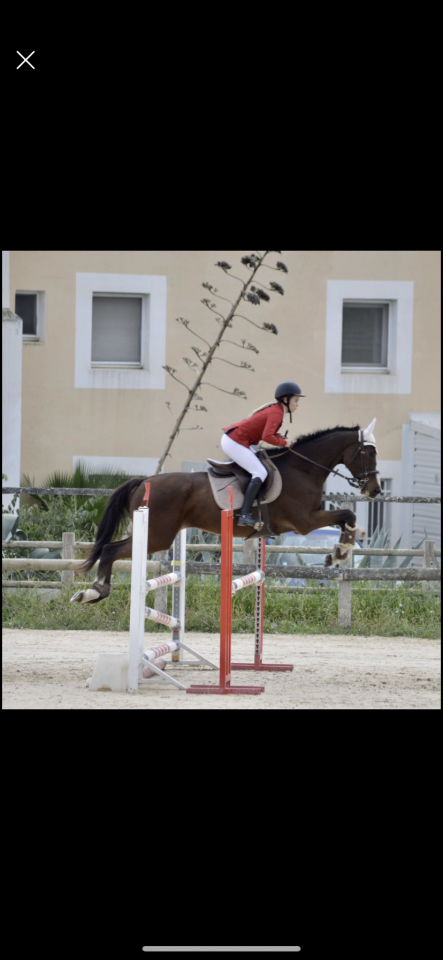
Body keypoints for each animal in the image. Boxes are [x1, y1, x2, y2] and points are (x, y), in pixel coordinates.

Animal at [71, 419, 380, 604]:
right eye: (370, 452)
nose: (375, 490)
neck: (303, 468)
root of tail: (144, 481)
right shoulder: (304, 522)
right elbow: (348, 516)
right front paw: (339, 553)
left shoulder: (308, 520)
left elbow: (347, 518)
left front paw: (338, 551)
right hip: (158, 537)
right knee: (110, 550)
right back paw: (94, 591)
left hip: (157, 535)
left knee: (110, 550)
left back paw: (94, 592)